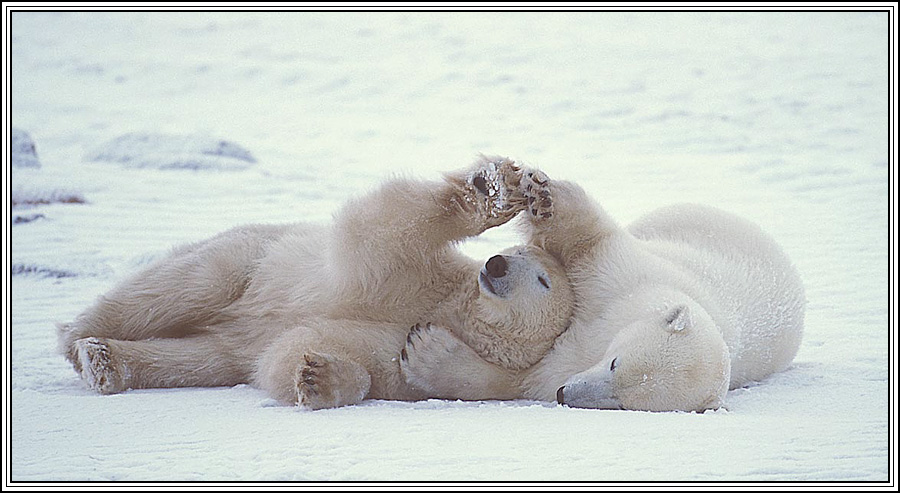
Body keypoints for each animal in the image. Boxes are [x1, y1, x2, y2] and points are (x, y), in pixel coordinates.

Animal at [56, 156, 572, 410]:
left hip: (227, 339)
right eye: (521, 250)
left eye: (542, 279)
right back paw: (79, 340)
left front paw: (320, 377)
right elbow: (385, 228)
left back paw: (106, 361)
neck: (448, 309)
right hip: (249, 258)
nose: (497, 264)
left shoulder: (399, 360)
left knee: (201, 359)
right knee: (184, 285)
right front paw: (497, 189)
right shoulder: (410, 276)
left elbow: (294, 354)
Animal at [400, 169, 808, 412]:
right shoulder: (632, 279)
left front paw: (425, 352)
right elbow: (593, 243)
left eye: (622, 403)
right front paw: (545, 197)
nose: (566, 395)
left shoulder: (566, 364)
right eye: (615, 362)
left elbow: (521, 379)